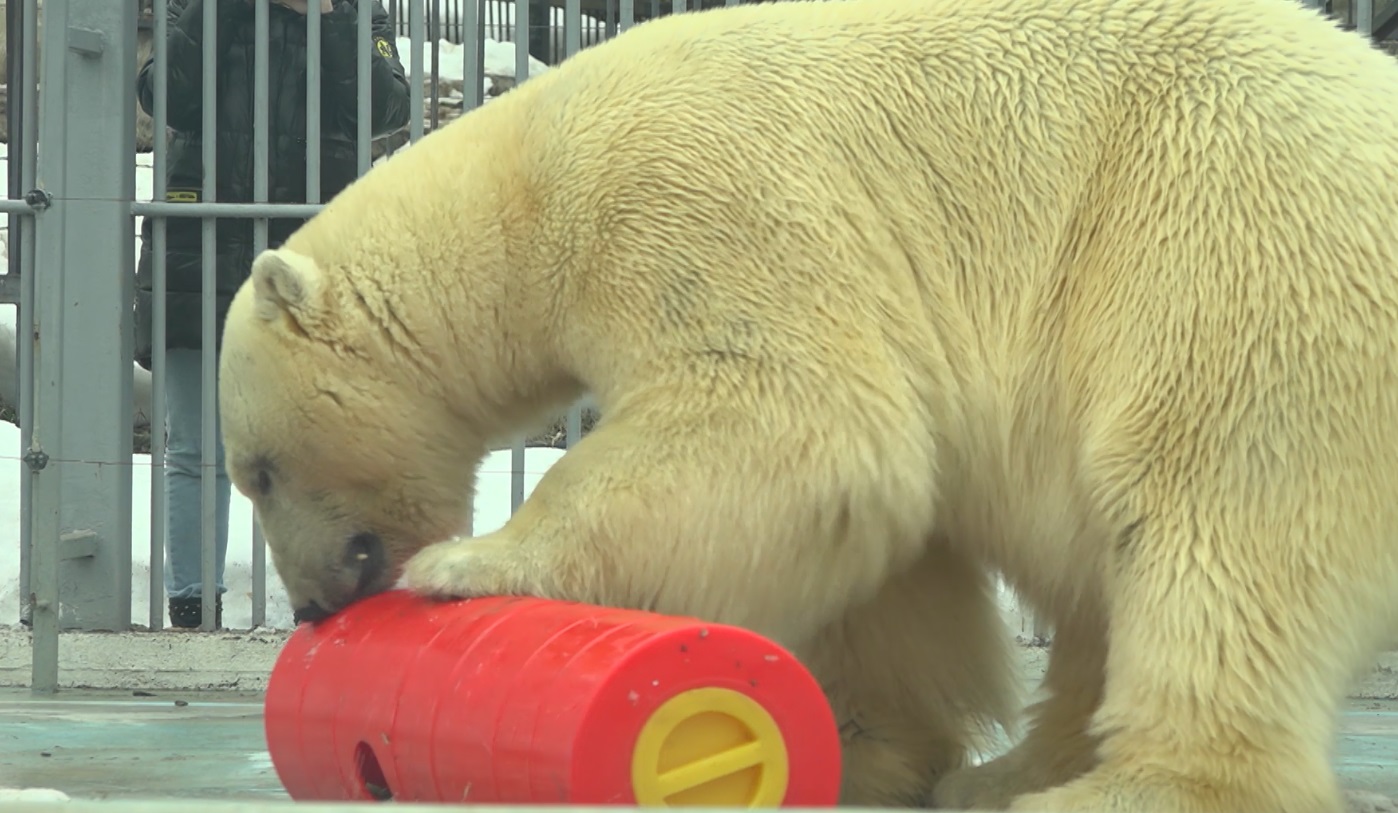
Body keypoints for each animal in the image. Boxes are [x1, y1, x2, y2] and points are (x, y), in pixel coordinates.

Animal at [215, 0, 1398, 810]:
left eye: (258, 469)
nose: (315, 602)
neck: (525, 169)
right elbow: (889, 538)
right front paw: (874, 747)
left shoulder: (687, 196)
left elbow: (789, 417)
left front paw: (468, 565)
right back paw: (1017, 768)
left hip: (1221, 244)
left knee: (1219, 515)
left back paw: (1129, 784)